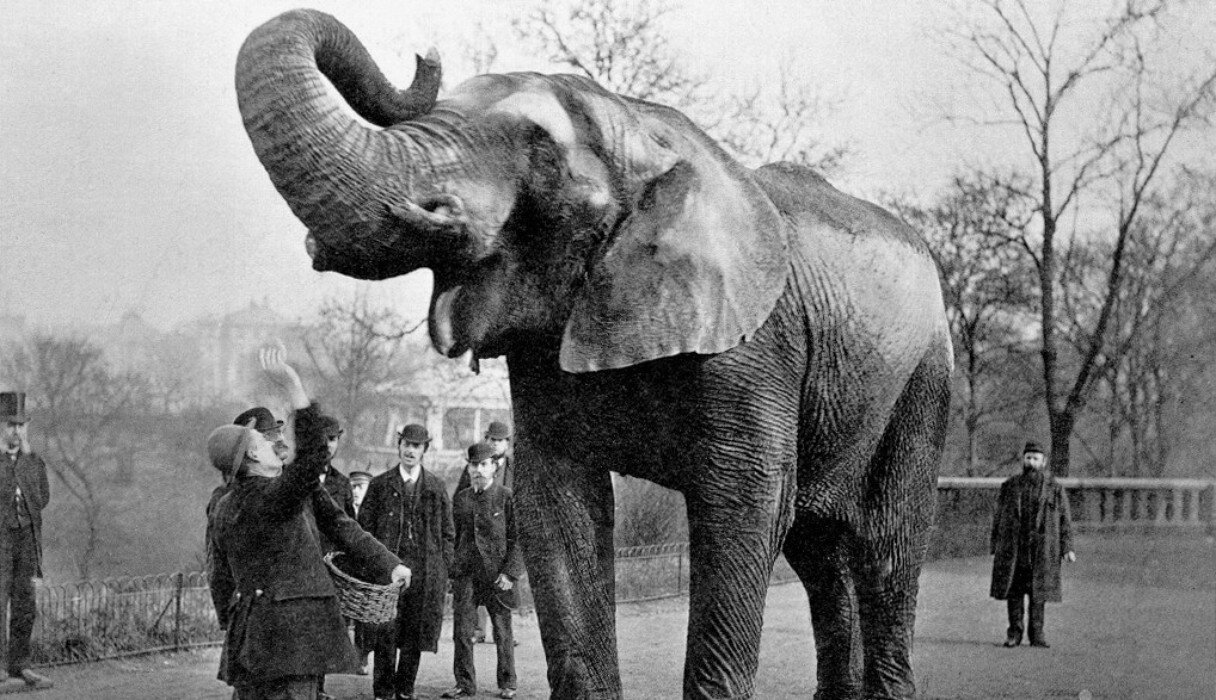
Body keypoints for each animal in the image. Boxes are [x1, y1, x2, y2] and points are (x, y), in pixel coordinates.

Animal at [235, 10, 952, 699]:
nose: (424, 55)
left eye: (541, 153)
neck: (645, 128)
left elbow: (747, 506)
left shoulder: (754, 349)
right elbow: (557, 506)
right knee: (818, 551)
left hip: (924, 380)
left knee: (885, 545)